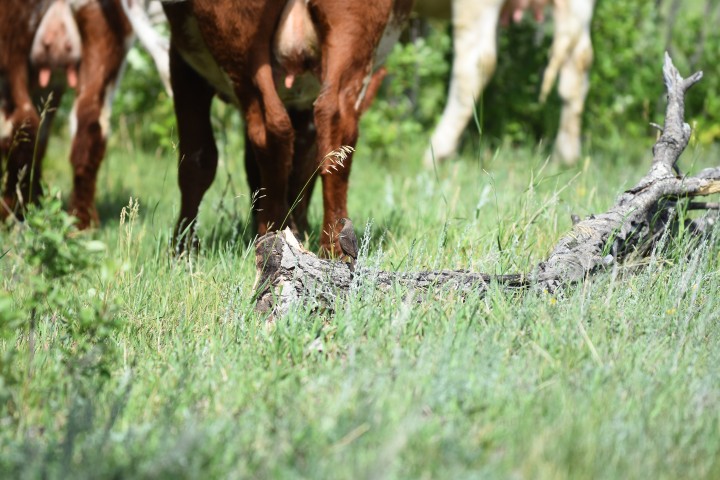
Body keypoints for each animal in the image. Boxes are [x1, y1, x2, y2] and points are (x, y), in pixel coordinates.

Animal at [0, 0, 169, 228]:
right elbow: (42, 140)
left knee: (20, 123)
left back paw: (13, 214)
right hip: (105, 35)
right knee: (90, 123)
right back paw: (81, 222)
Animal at [160, 0, 413, 253]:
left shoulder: (183, 64)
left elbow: (196, 161)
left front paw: (183, 247)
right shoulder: (302, 103)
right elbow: (300, 165)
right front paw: (299, 229)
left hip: (236, 38)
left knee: (271, 128)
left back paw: (271, 235)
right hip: (351, 29)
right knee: (335, 123)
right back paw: (332, 246)